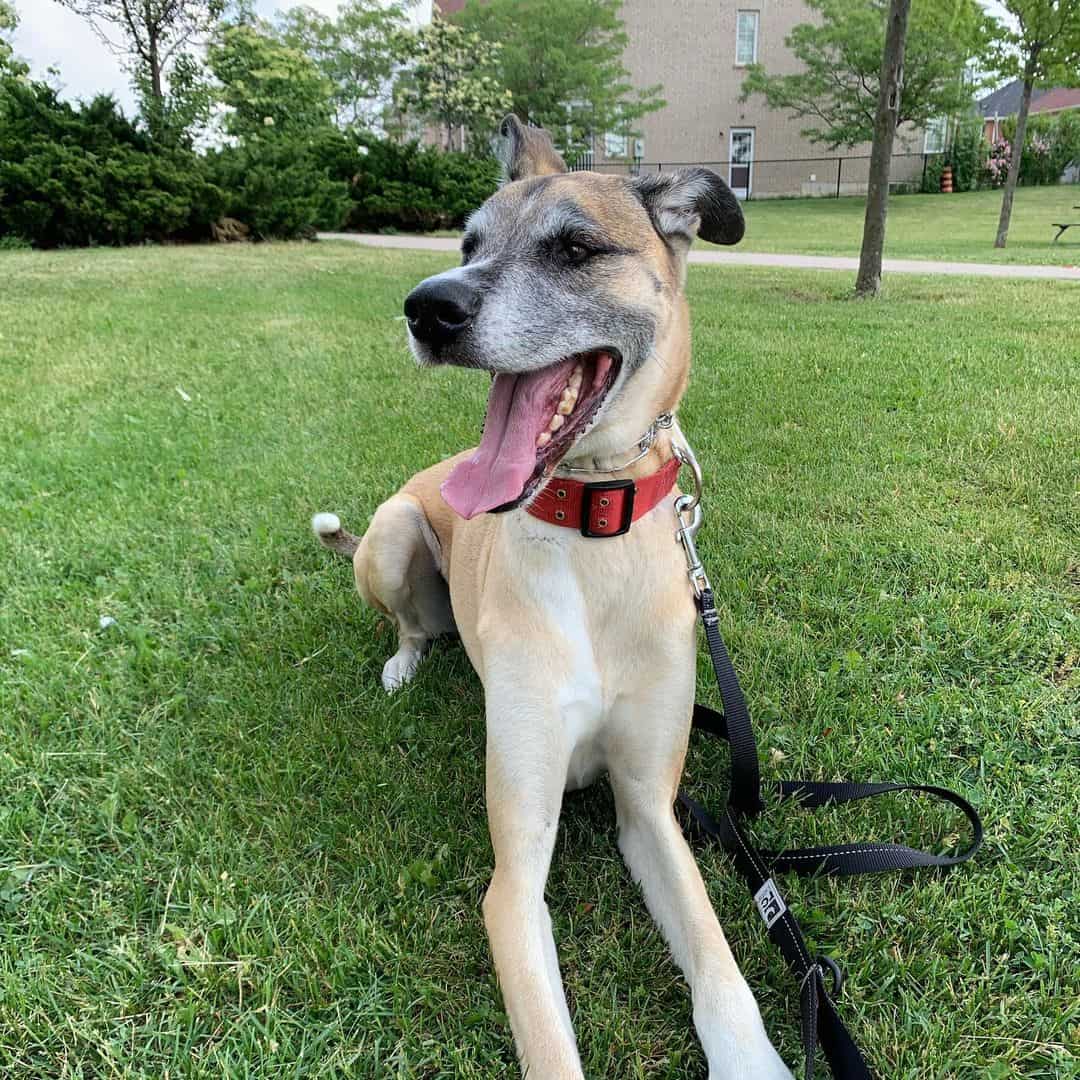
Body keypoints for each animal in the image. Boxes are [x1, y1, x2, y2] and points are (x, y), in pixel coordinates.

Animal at [315, 113, 790, 1075]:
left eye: (575, 248)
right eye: (466, 245)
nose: (428, 307)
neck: (591, 529)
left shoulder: (650, 808)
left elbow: (721, 967)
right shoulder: (515, 870)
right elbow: (549, 1041)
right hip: (393, 532)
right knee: (410, 625)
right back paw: (403, 666)